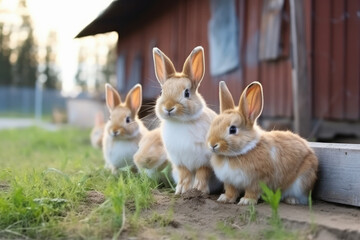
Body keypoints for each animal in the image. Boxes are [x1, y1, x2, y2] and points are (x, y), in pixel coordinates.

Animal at [150, 46, 221, 194]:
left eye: (187, 93)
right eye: (161, 92)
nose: (169, 107)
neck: (180, 122)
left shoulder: (204, 160)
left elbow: (202, 173)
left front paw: (198, 190)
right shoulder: (179, 161)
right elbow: (185, 175)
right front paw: (182, 191)